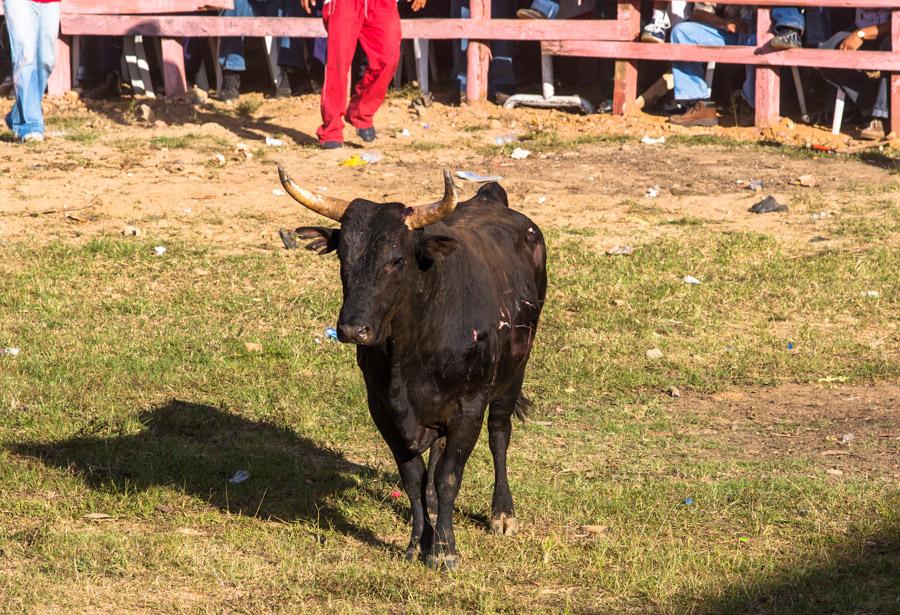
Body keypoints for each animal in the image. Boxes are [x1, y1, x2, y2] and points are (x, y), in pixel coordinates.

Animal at [282, 166, 544, 572]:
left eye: (396, 259)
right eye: (343, 257)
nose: (353, 329)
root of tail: (490, 197)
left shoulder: (468, 409)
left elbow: (449, 475)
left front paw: (445, 550)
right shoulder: (384, 410)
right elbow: (415, 478)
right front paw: (418, 543)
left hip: (513, 375)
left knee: (499, 435)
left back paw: (502, 513)